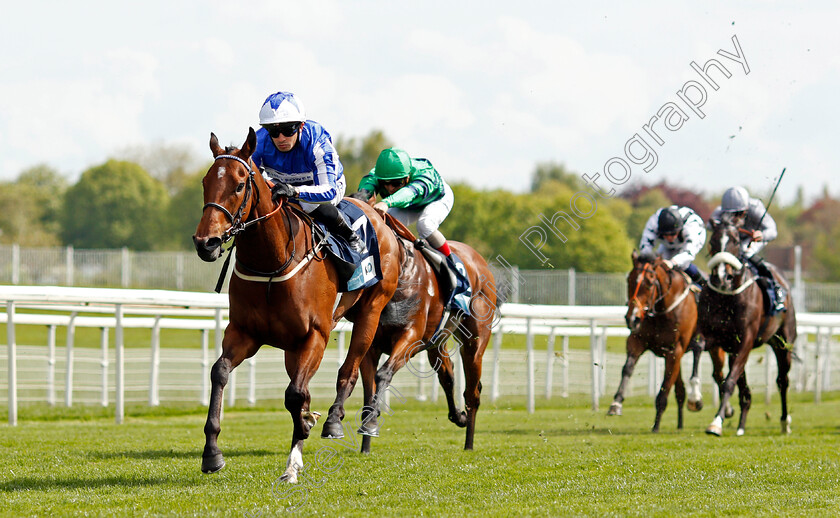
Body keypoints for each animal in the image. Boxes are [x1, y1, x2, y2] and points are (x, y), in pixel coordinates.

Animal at [193, 131, 400, 484]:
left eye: (239, 184)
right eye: (206, 181)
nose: (206, 242)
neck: (272, 263)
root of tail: (377, 214)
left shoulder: (315, 334)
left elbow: (295, 394)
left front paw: (298, 446)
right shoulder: (244, 333)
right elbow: (219, 372)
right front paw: (212, 453)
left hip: (371, 310)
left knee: (348, 371)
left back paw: (332, 421)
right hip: (293, 347)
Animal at [354, 214, 498, 450]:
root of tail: (479, 261)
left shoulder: (411, 339)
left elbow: (383, 373)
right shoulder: (370, 346)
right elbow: (369, 390)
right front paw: (366, 442)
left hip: (474, 343)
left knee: (472, 393)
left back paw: (468, 443)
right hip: (437, 343)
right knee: (447, 376)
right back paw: (458, 417)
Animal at [608, 252, 720, 434]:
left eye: (649, 283)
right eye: (629, 280)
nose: (632, 318)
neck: (663, 309)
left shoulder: (674, 351)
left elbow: (665, 387)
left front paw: (656, 426)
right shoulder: (637, 341)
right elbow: (627, 368)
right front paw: (616, 403)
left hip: (716, 348)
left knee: (717, 374)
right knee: (681, 390)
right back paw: (681, 423)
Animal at [700, 219, 796, 438]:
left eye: (735, 241)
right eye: (713, 240)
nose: (721, 277)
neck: (727, 296)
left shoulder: (746, 340)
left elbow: (729, 382)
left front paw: (716, 423)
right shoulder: (715, 338)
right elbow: (700, 349)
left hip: (783, 343)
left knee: (782, 380)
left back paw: (785, 422)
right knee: (746, 391)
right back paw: (741, 426)